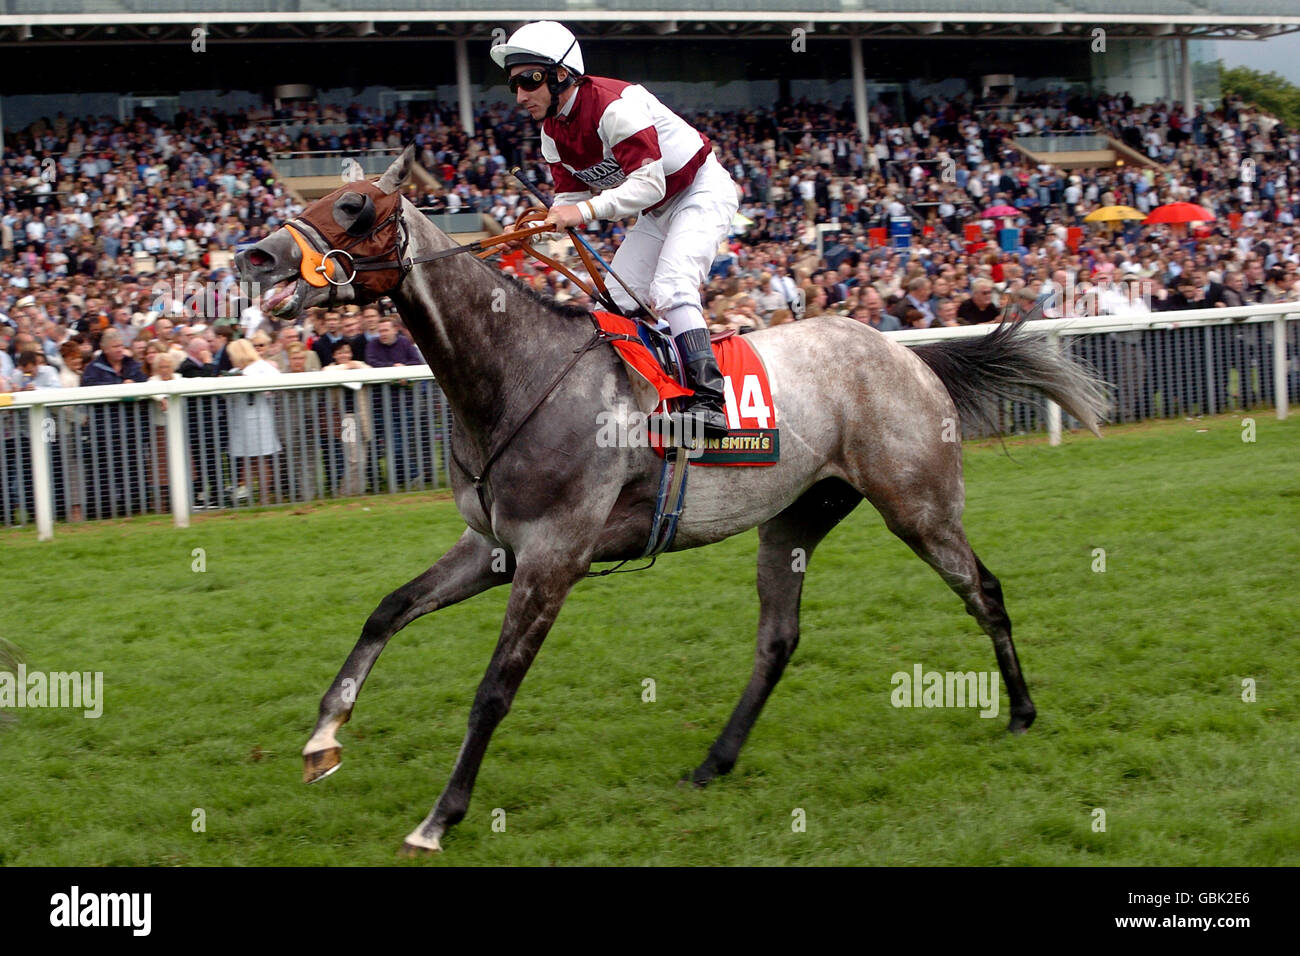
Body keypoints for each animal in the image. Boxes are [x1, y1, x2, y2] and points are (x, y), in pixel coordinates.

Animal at [233, 145, 1107, 858]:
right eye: (318, 198)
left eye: (353, 206)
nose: (255, 254)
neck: (514, 373)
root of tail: (906, 352)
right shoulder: (496, 547)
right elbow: (386, 610)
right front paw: (323, 737)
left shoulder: (553, 557)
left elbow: (494, 689)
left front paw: (439, 818)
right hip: (796, 516)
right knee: (778, 640)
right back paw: (714, 760)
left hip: (917, 504)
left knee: (983, 588)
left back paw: (1021, 712)